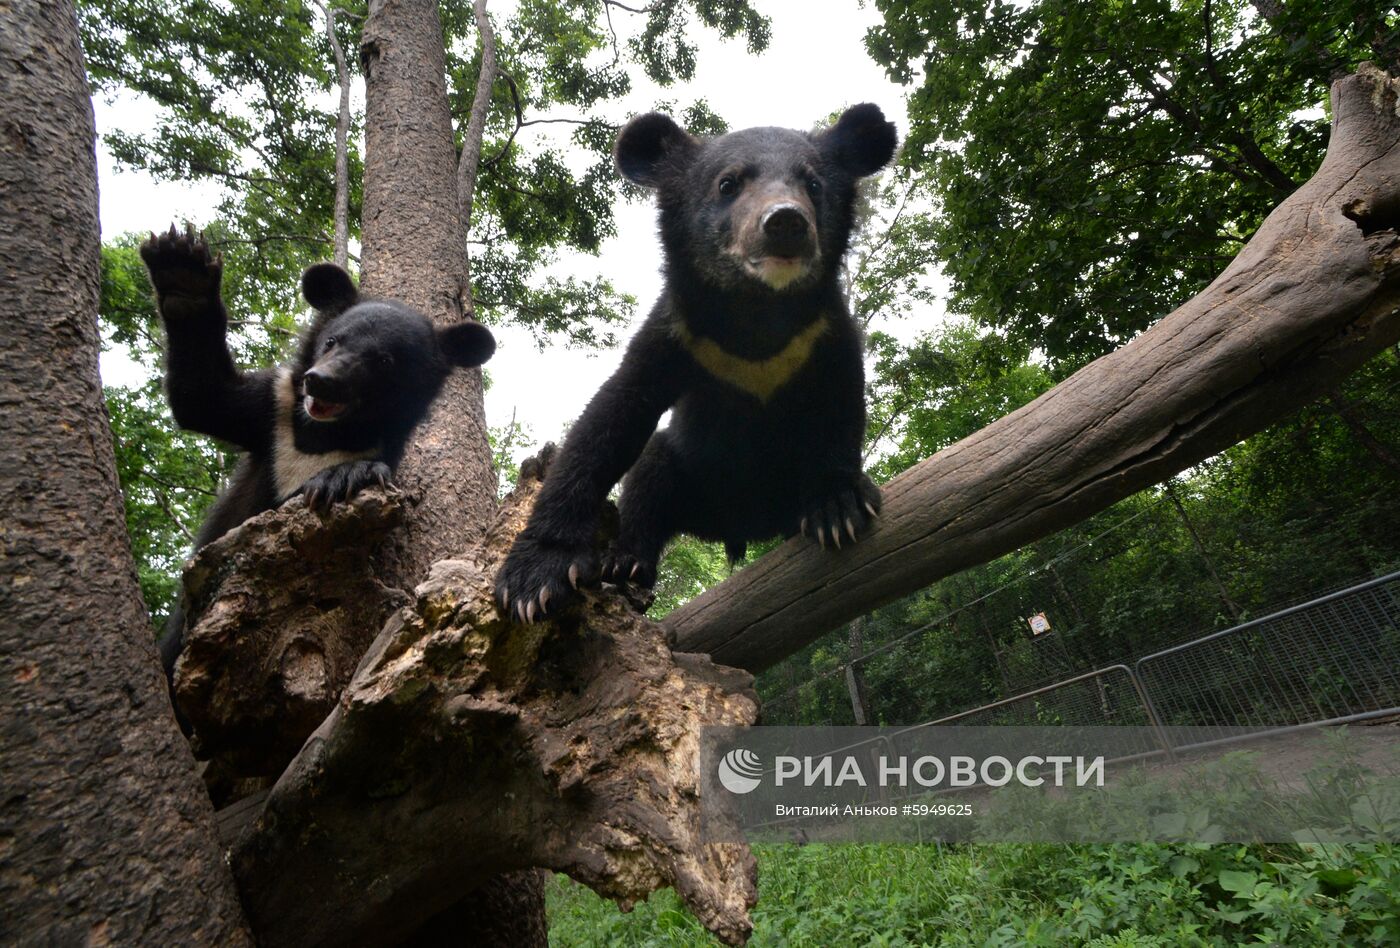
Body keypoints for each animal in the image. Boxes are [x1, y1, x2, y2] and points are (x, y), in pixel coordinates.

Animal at [142, 224, 492, 669]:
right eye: (332, 341)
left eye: (384, 361)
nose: (321, 381)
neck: (325, 434)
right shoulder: (273, 407)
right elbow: (203, 398)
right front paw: (182, 270)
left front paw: (341, 478)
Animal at [498, 101, 896, 621]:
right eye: (729, 184)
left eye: (812, 184)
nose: (786, 223)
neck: (758, 311)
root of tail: (742, 527)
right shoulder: (677, 333)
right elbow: (609, 420)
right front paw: (533, 579)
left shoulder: (823, 334)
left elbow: (841, 406)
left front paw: (838, 507)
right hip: (690, 473)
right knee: (648, 476)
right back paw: (626, 563)